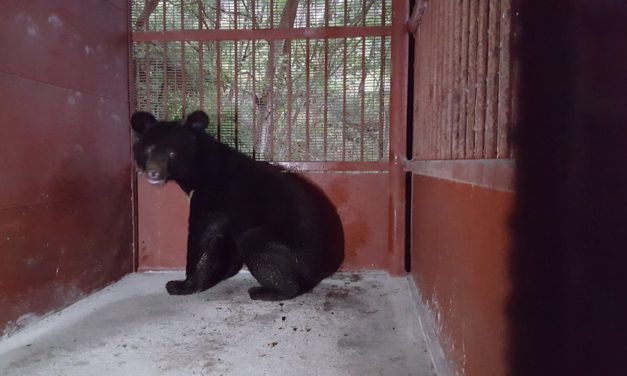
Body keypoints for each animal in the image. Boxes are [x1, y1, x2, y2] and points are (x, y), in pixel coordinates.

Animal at [131, 110, 346, 302]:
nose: (153, 172)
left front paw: (181, 285)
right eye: (148, 150)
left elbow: (202, 235)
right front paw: (220, 274)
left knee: (258, 248)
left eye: (171, 153)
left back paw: (265, 292)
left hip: (283, 248)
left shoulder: (213, 194)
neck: (199, 169)